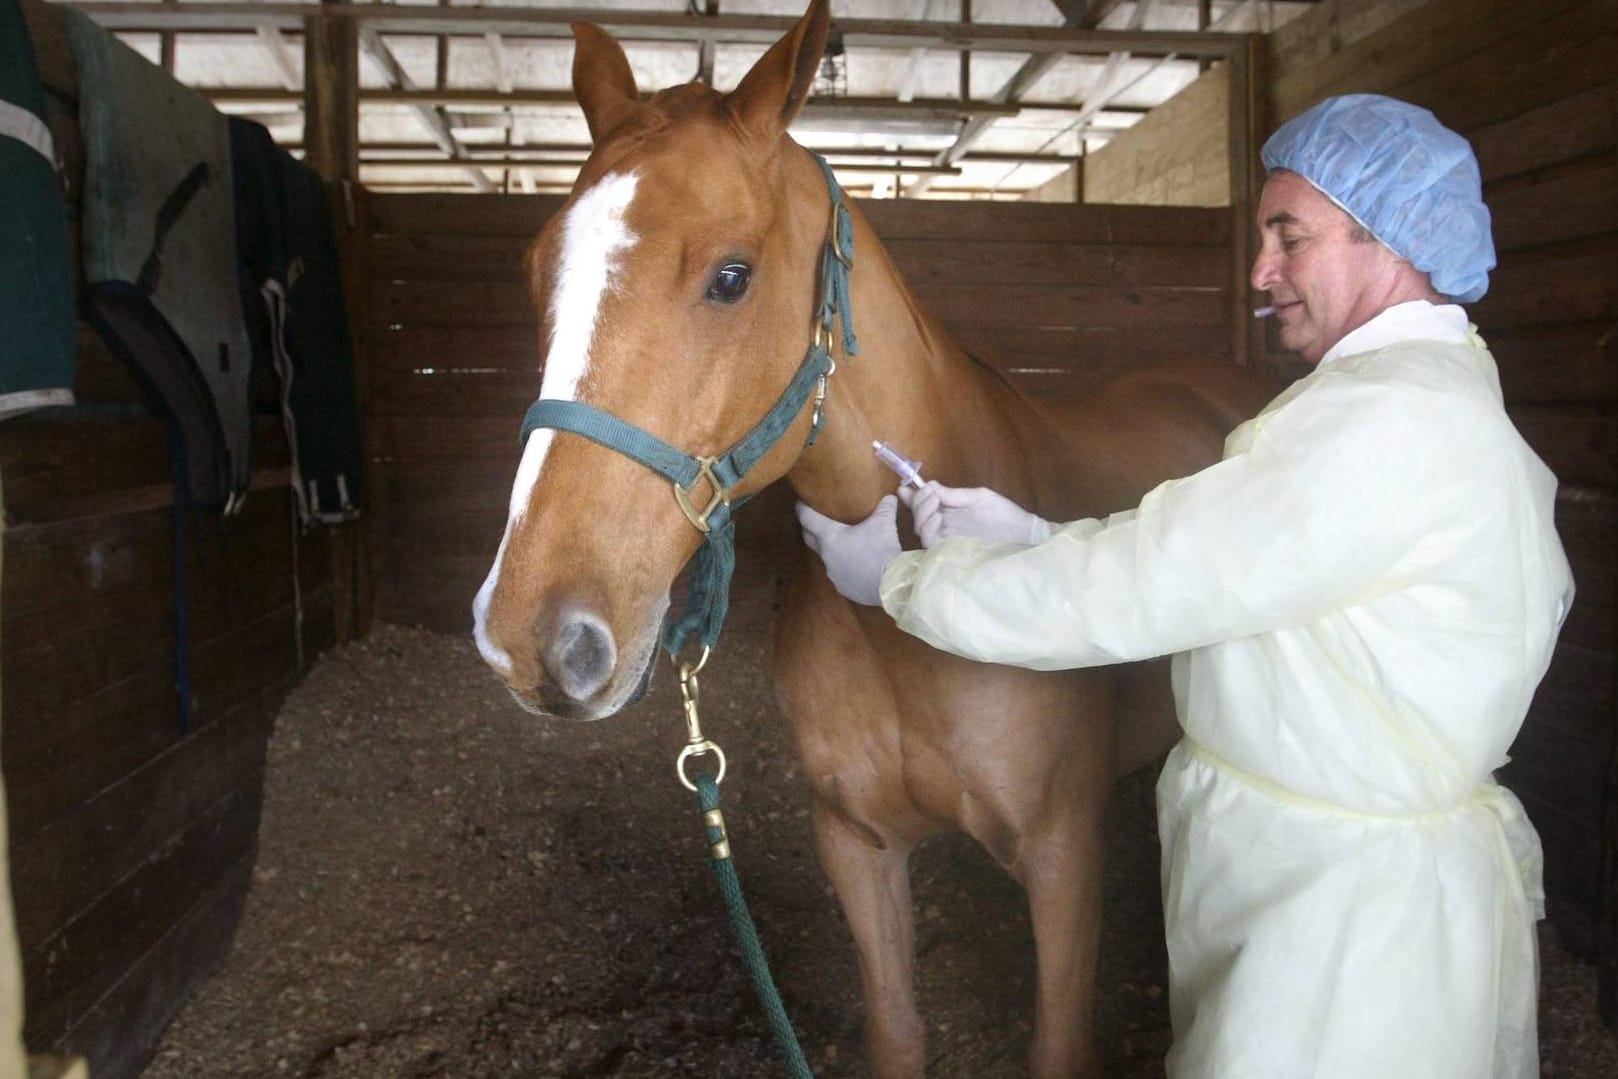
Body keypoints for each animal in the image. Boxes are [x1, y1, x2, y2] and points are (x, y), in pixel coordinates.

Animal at [472, 4, 1281, 1074]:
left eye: (732, 276)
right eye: (533, 275)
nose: (529, 637)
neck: (902, 630)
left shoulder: (1063, 853)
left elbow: (1058, 1040)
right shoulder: (855, 844)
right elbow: (896, 1027)